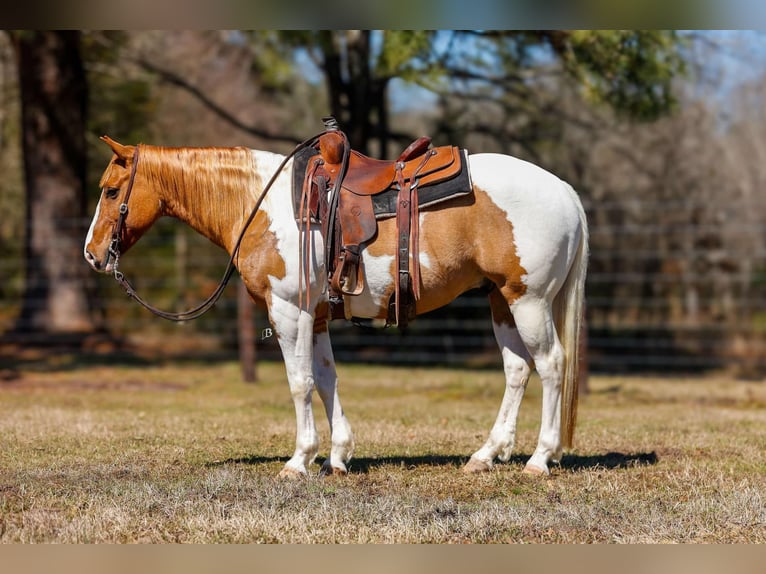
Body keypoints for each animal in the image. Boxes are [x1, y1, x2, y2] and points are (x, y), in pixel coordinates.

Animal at [82, 137, 588, 480]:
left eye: (110, 191)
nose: (91, 254)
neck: (260, 205)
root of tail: (565, 189)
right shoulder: (318, 316)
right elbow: (327, 379)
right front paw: (338, 455)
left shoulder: (289, 312)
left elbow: (300, 382)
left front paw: (299, 459)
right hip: (501, 299)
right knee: (517, 370)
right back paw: (485, 455)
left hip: (529, 300)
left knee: (550, 364)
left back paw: (540, 458)